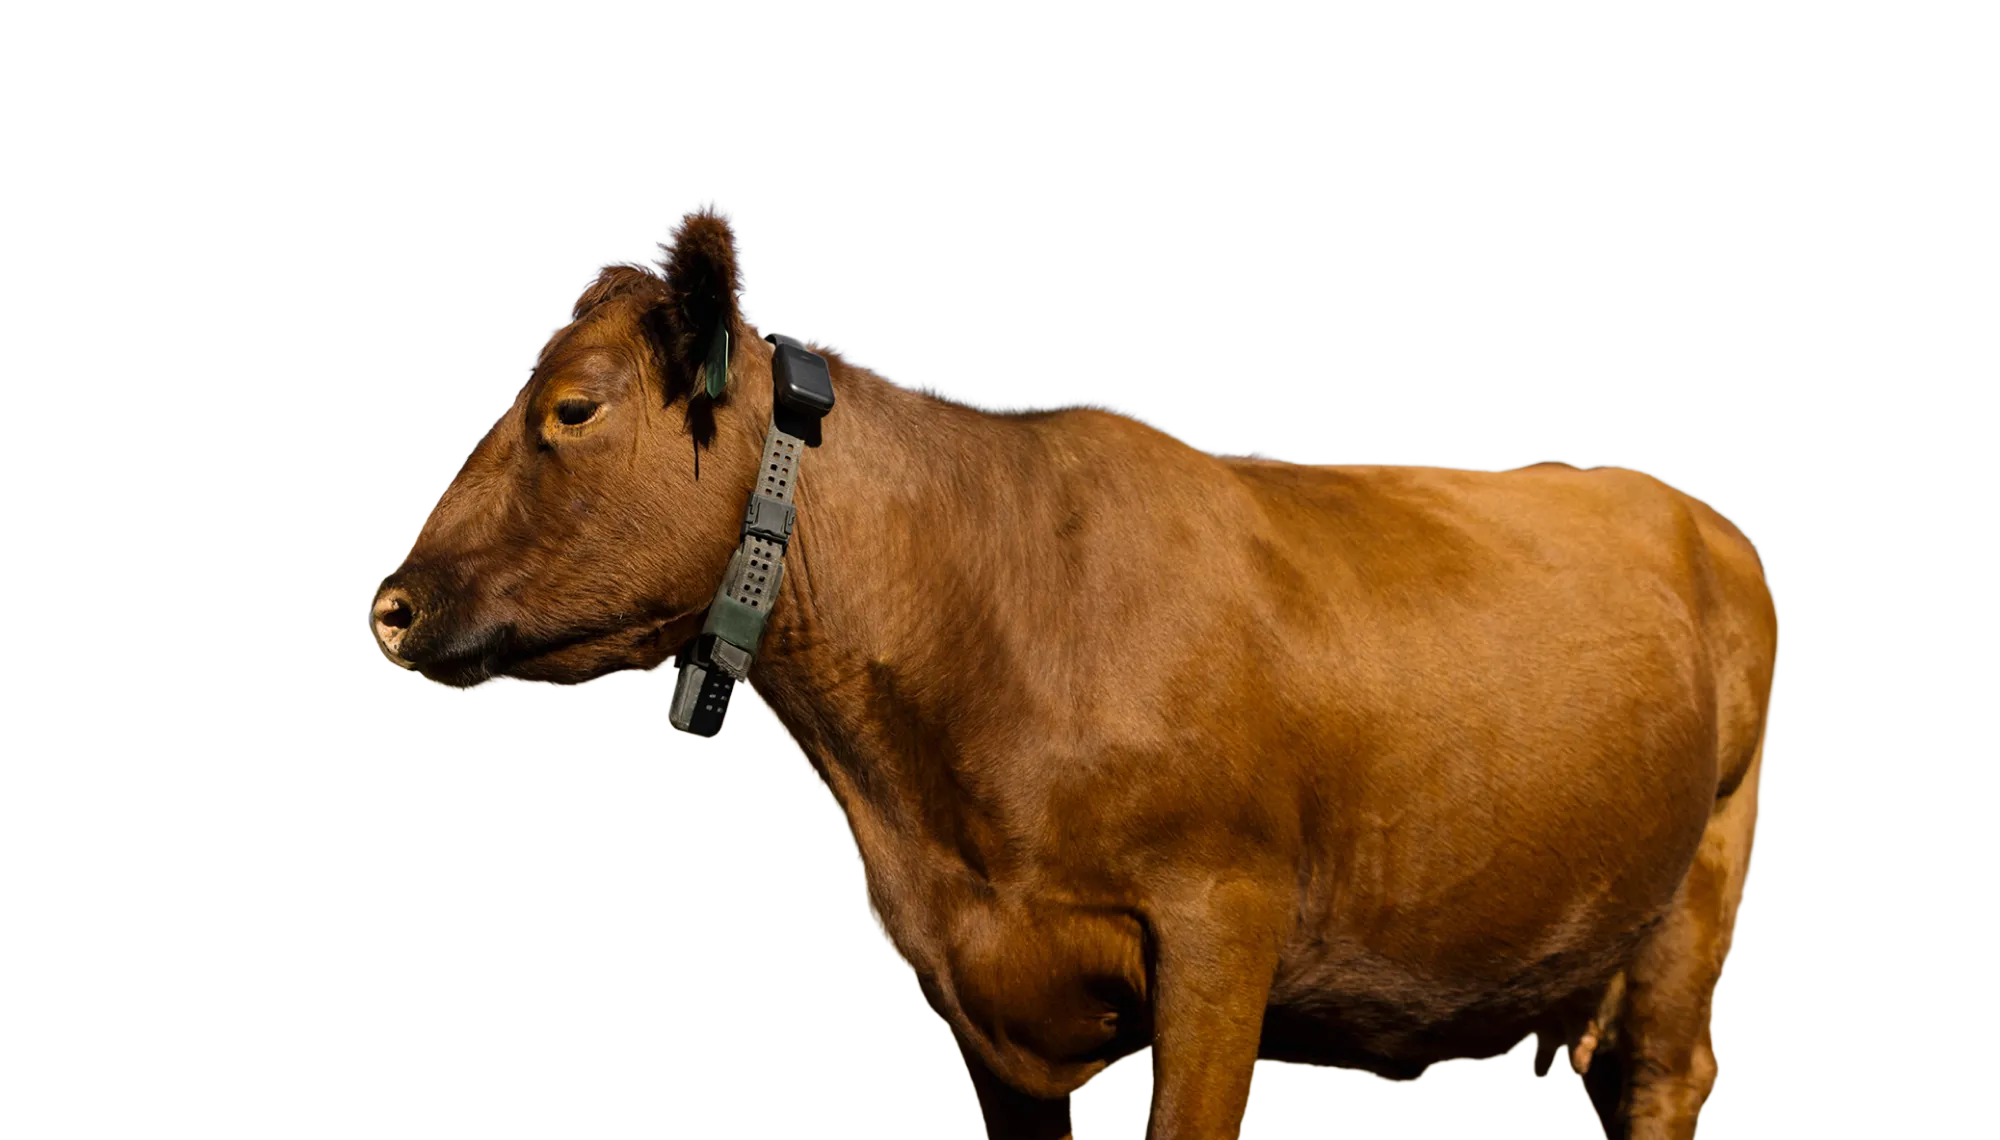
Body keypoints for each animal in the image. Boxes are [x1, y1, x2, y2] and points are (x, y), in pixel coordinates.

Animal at [370, 206, 1777, 1140]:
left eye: (572, 409)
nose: (390, 607)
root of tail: (1684, 508)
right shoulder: (979, 996)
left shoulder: (1221, 928)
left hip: (1698, 891)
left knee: (1662, 1075)